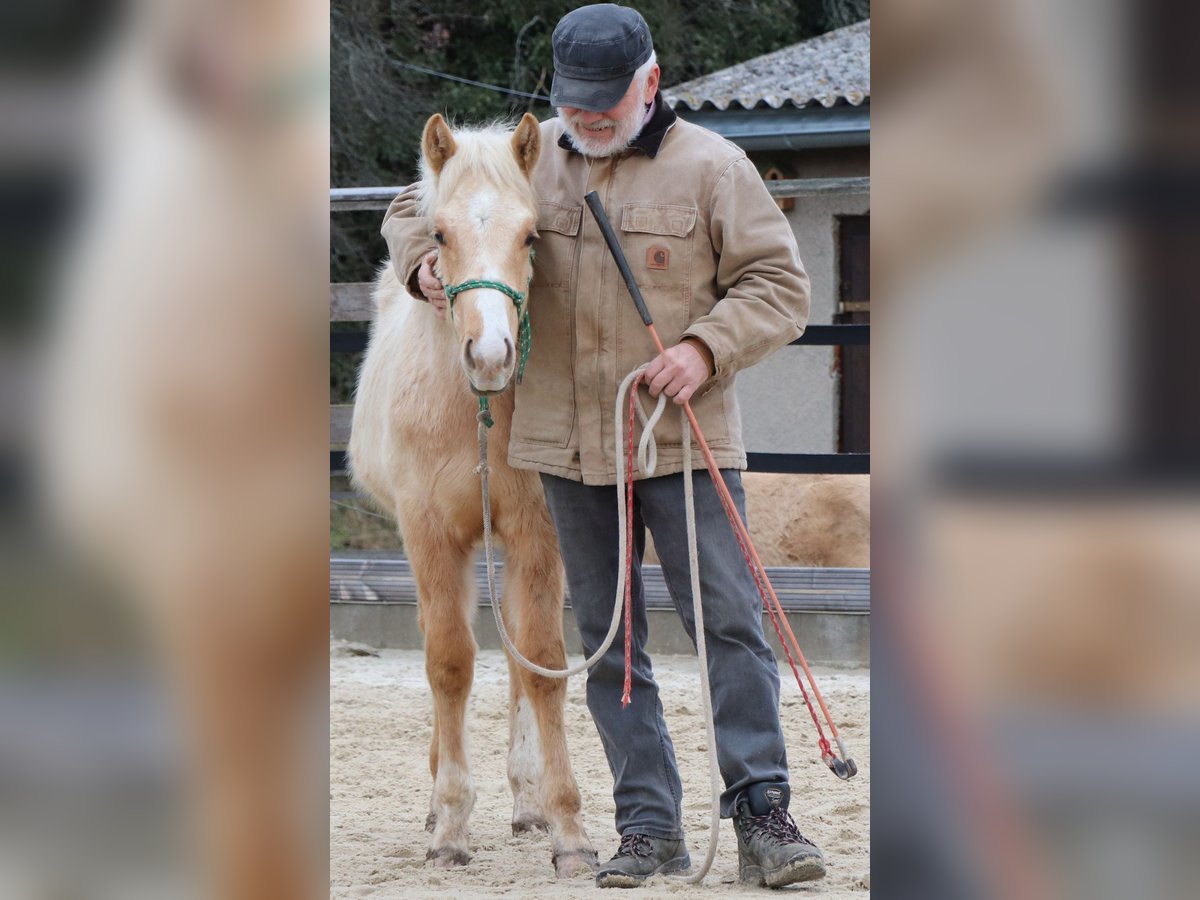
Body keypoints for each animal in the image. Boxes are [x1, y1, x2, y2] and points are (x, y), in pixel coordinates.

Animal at [350, 109, 597, 878]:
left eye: (531, 236)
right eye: (440, 237)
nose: (490, 357)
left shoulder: (537, 534)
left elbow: (541, 666)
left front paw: (567, 829)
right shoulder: (429, 533)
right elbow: (449, 663)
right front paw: (451, 825)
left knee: (519, 657)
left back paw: (526, 802)